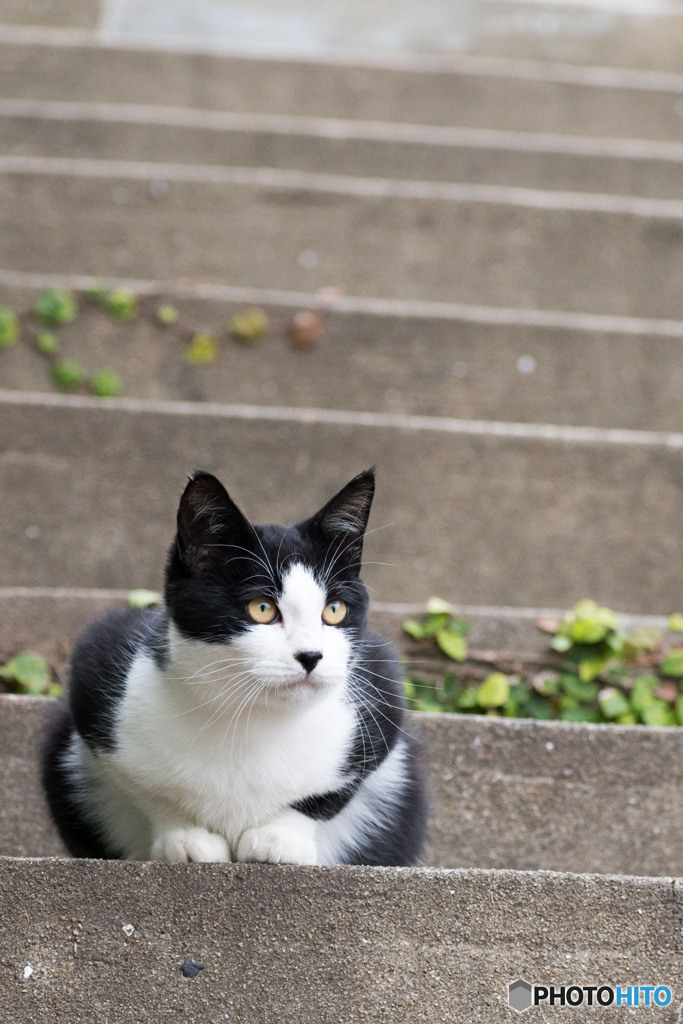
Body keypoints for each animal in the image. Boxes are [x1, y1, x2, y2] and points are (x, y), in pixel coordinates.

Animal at [40, 468, 428, 864]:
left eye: (334, 610)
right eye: (262, 608)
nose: (311, 656)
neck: (251, 719)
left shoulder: (383, 683)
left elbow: (330, 793)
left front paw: (279, 837)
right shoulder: (96, 663)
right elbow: (148, 791)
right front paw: (185, 836)